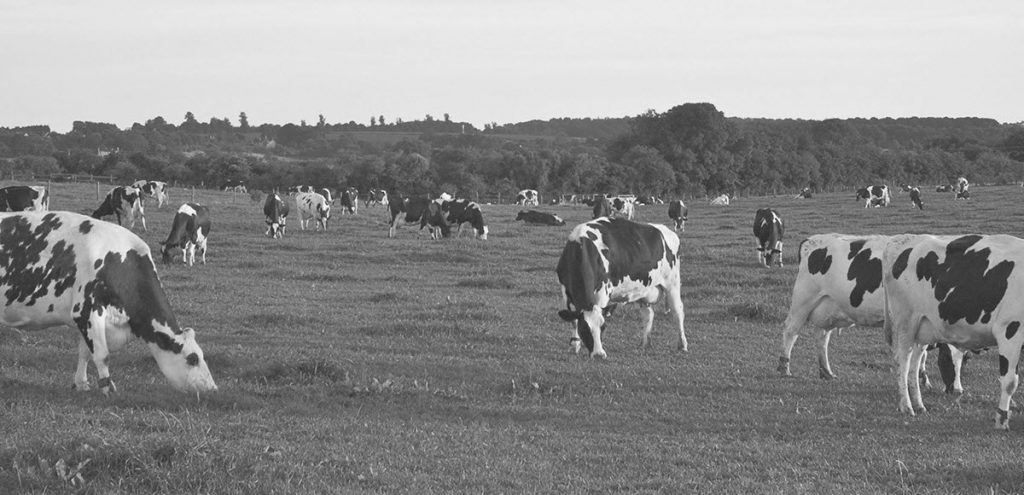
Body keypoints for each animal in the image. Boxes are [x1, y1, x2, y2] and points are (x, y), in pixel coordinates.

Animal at [0, 211, 216, 393]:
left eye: (201, 355)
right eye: (192, 359)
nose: (212, 388)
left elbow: (85, 352)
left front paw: (82, 384)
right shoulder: (86, 311)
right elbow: (102, 355)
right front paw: (108, 388)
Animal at [552, 219, 688, 358]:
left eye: (603, 327)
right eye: (584, 329)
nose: (598, 355)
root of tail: (670, 232)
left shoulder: (603, 292)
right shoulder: (565, 292)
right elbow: (573, 319)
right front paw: (575, 345)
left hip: (672, 283)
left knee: (678, 312)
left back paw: (682, 345)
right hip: (644, 290)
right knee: (648, 314)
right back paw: (644, 344)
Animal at [778, 232, 962, 391]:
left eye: (965, 359)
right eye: (945, 359)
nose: (956, 390)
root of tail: (812, 240)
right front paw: (921, 380)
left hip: (828, 307)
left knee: (822, 337)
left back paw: (826, 372)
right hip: (803, 300)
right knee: (790, 330)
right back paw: (784, 368)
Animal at [880, 234, 1024, 428]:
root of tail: (902, 240)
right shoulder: (1010, 331)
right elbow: (1010, 381)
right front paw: (1001, 419)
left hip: (922, 328)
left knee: (916, 363)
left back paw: (919, 405)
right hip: (905, 324)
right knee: (903, 362)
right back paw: (907, 406)